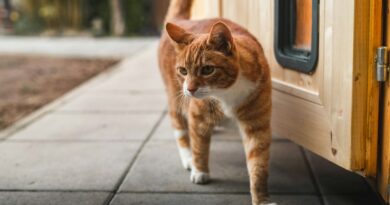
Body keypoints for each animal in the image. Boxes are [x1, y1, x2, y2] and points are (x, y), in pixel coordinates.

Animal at [158, 0, 274, 204]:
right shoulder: (197, 116)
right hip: (175, 100)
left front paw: (262, 199)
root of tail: (181, 21)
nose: (190, 89)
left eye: (207, 69)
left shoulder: (257, 126)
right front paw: (200, 171)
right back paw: (188, 158)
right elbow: (199, 146)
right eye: (183, 71)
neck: (227, 93)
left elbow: (258, 165)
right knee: (180, 130)